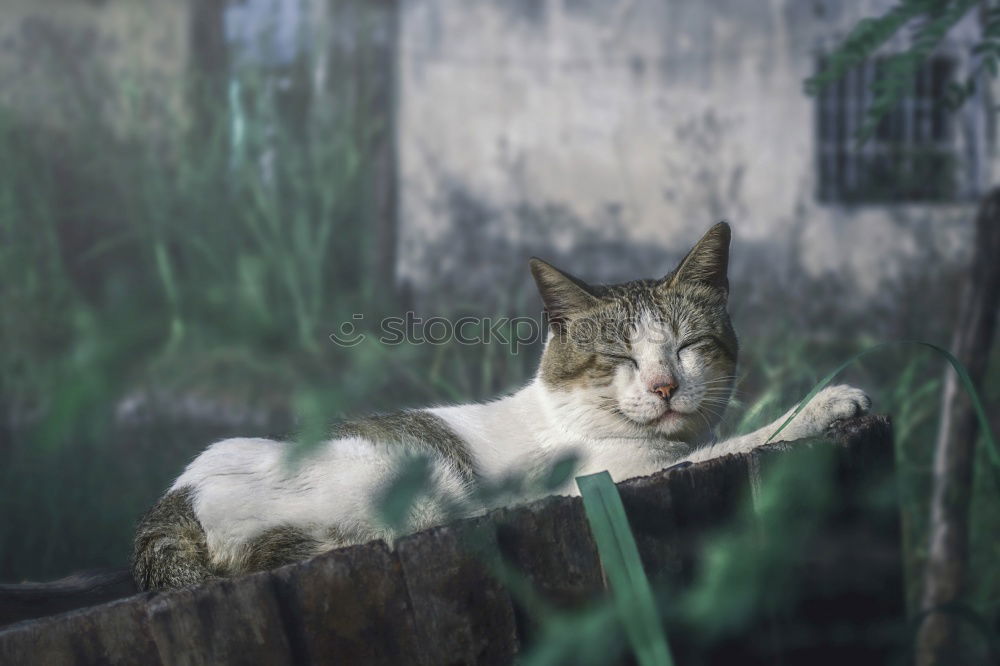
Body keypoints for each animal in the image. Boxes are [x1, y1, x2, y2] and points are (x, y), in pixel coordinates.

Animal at [131, 224, 868, 592]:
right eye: (621, 358)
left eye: (687, 347)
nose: (664, 387)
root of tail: (169, 505)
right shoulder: (615, 480)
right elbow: (743, 440)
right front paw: (827, 401)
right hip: (419, 482)